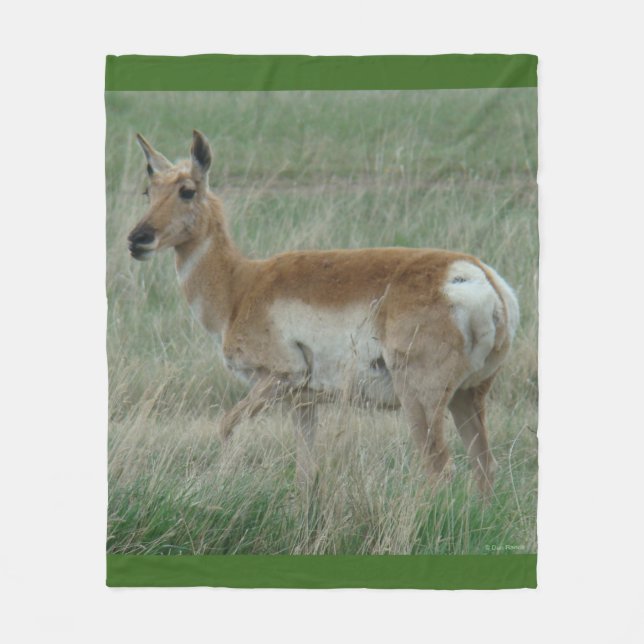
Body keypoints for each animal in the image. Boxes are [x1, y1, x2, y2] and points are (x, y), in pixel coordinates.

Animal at [127, 130, 519, 496]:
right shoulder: (302, 403)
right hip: (468, 395)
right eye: (149, 190)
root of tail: (479, 276)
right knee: (484, 465)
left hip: (421, 397)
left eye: (187, 190)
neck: (241, 285)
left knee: (438, 465)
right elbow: (305, 471)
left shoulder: (278, 378)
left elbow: (226, 426)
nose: (137, 239)